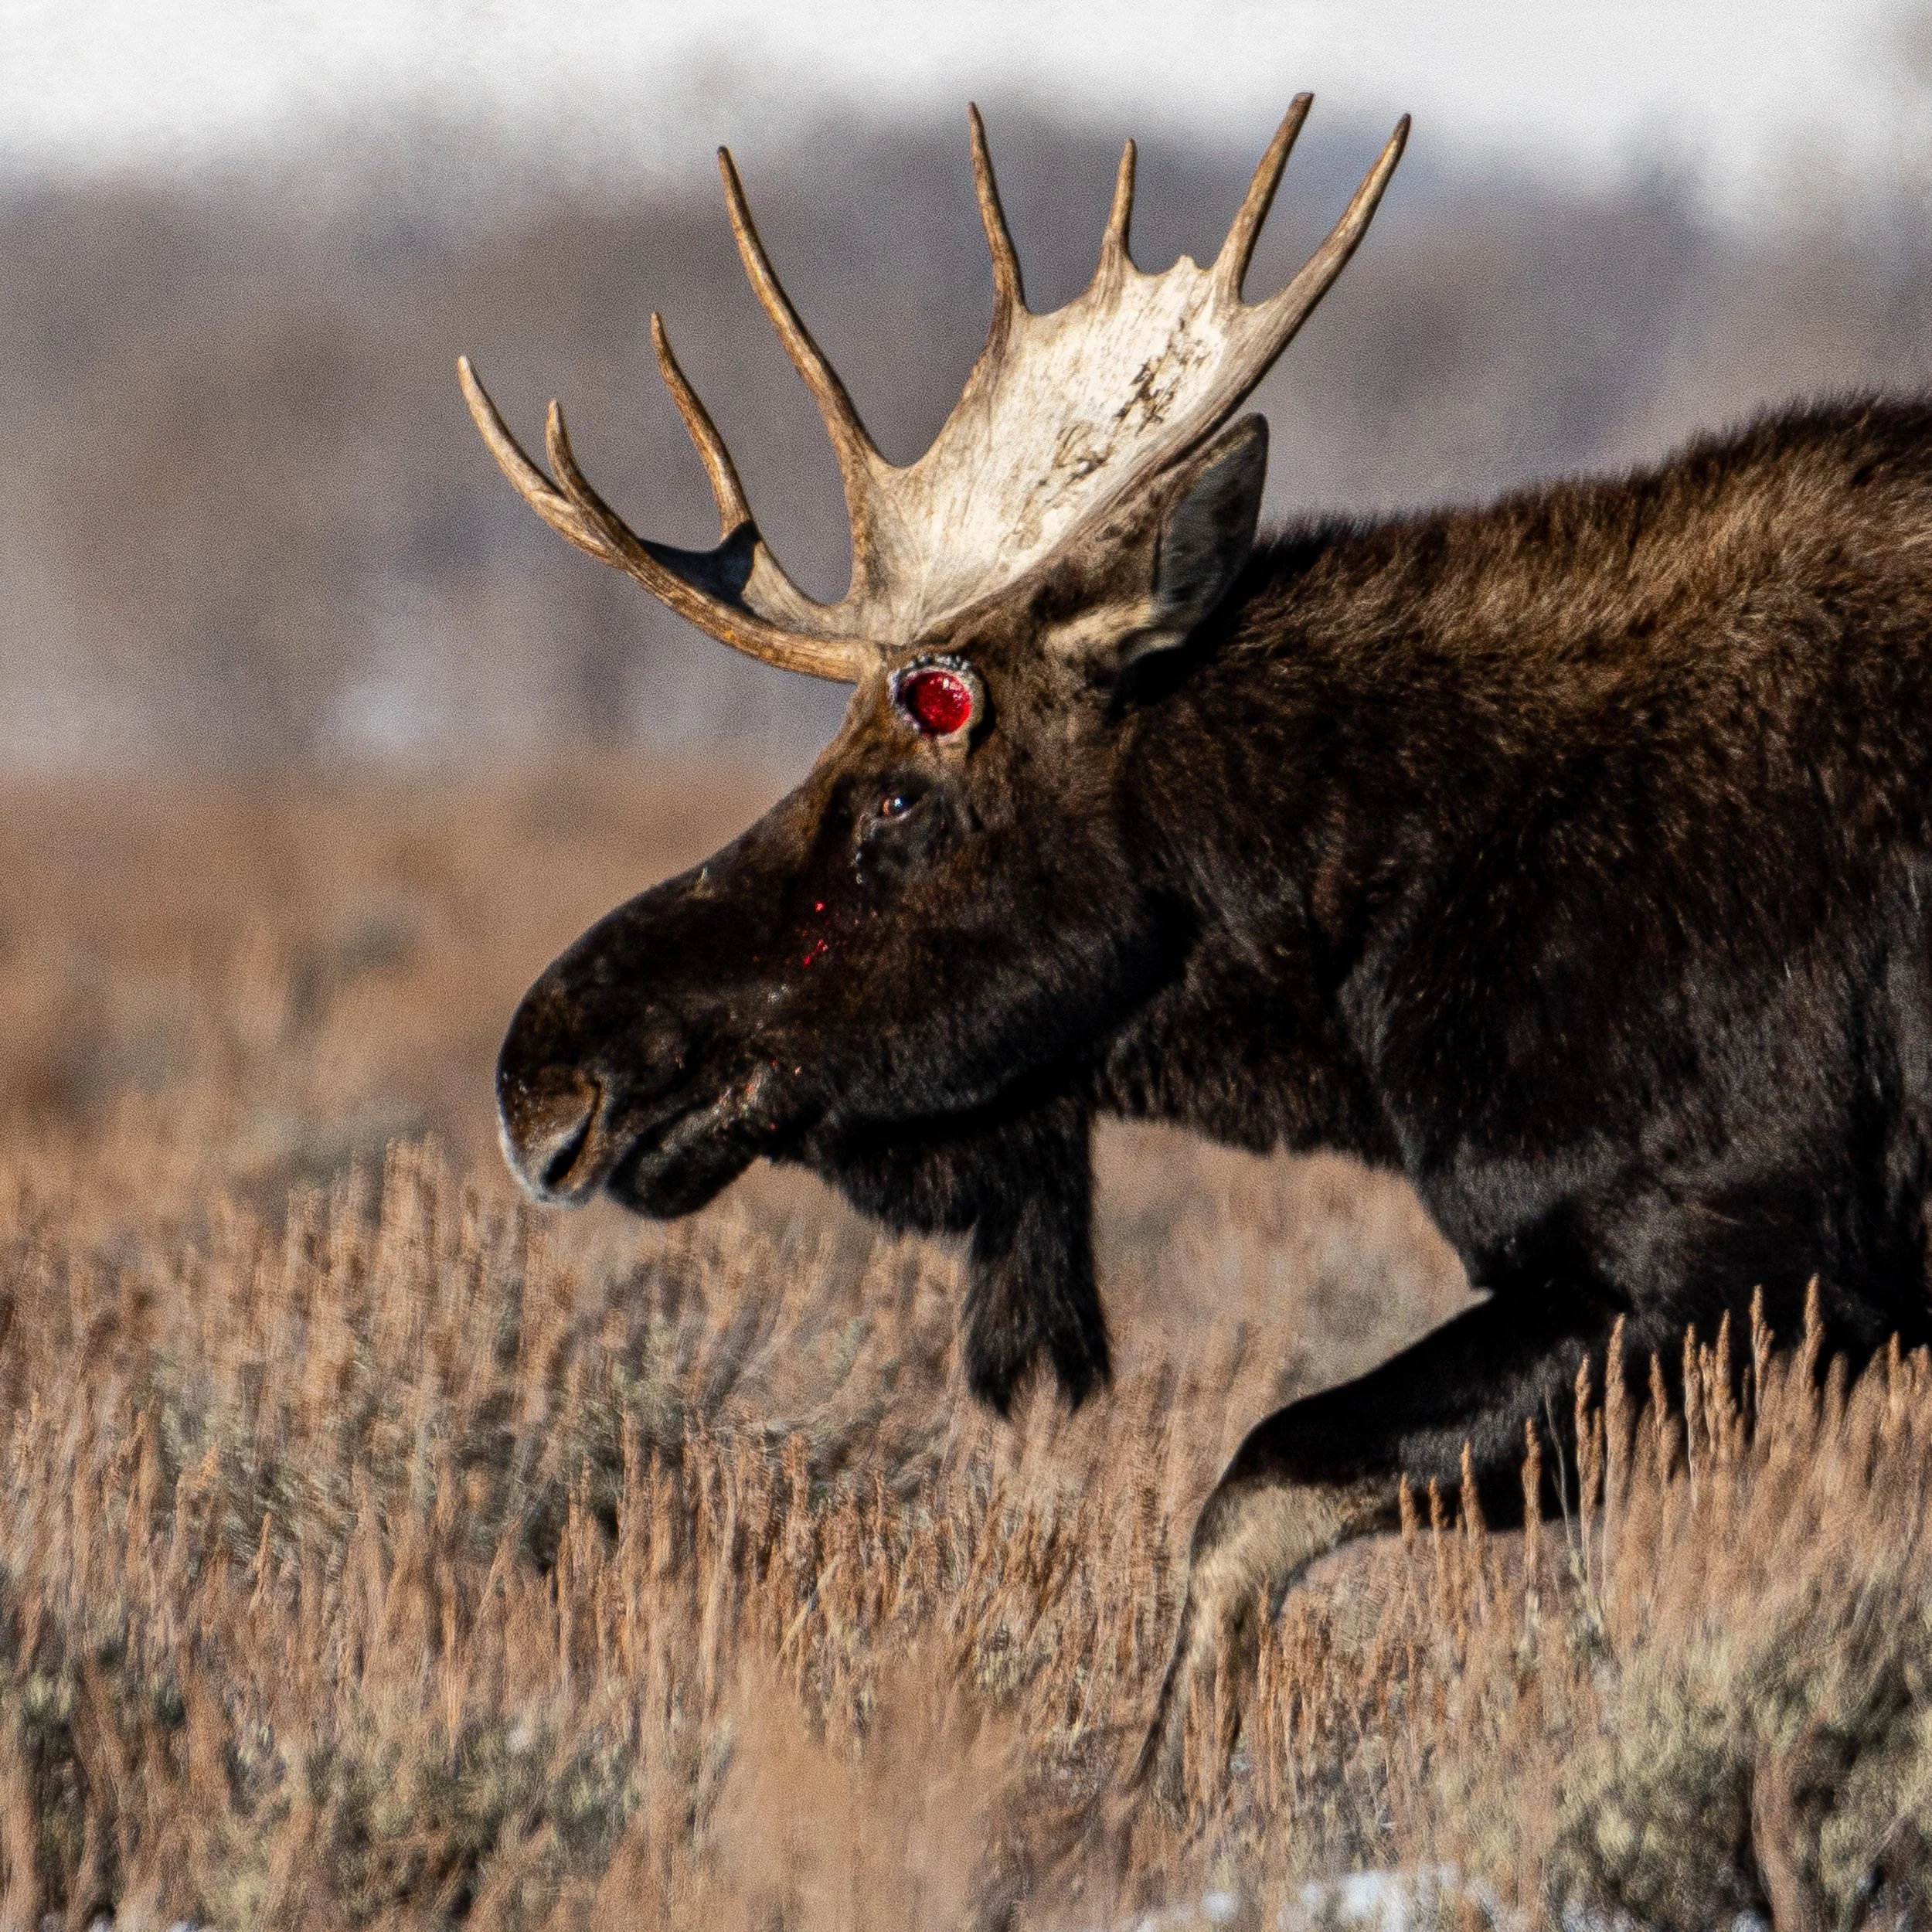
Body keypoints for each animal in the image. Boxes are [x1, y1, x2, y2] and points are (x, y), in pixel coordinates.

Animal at [459, 97, 1932, 1803]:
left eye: (899, 784)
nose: (545, 1069)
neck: (1371, 934)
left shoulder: (1719, 1267)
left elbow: (1249, 1494)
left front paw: (1168, 1794)